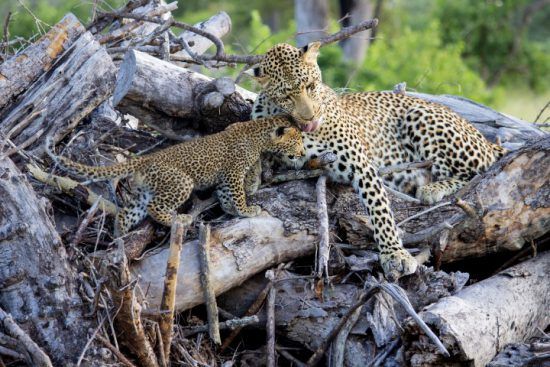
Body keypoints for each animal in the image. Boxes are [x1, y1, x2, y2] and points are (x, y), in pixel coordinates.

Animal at [252, 41, 506, 280]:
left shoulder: (361, 164)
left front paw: (395, 255)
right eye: (286, 96)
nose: (310, 116)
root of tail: (484, 138)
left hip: (420, 116)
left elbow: (379, 209)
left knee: (479, 170)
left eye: (310, 86)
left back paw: (433, 189)